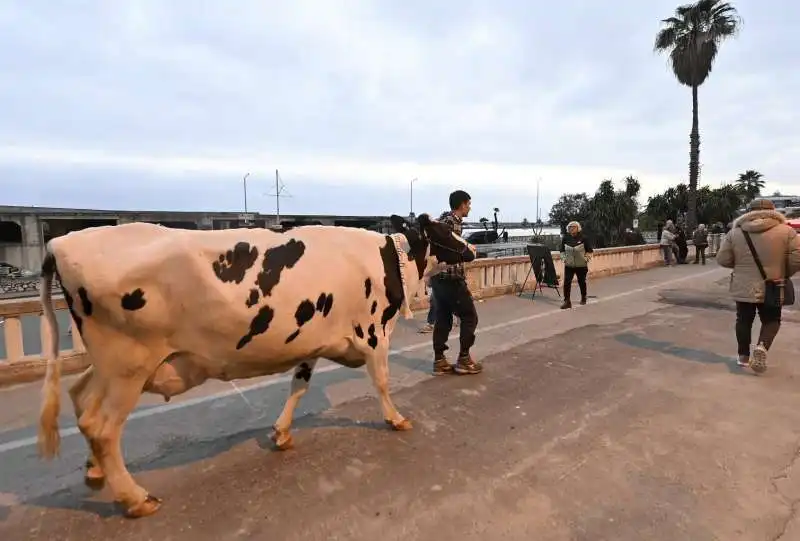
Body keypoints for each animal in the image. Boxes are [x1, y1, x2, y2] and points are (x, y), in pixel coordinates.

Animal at [36, 211, 476, 516]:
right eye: (444, 231)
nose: (472, 249)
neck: (390, 259)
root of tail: (59, 242)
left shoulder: (311, 339)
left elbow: (299, 385)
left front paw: (281, 434)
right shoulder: (372, 333)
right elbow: (382, 380)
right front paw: (396, 419)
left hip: (109, 365)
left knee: (80, 397)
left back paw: (96, 471)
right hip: (128, 363)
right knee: (100, 425)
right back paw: (135, 498)